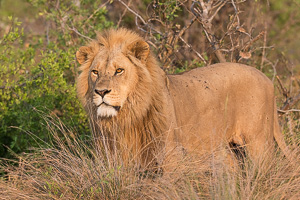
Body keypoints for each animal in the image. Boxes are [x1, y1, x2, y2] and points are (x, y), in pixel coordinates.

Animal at [76, 28, 290, 169]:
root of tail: (267, 79)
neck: (128, 117)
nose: (101, 92)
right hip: (230, 148)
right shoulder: (112, 154)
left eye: (119, 70)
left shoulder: (169, 154)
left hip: (258, 143)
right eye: (95, 72)